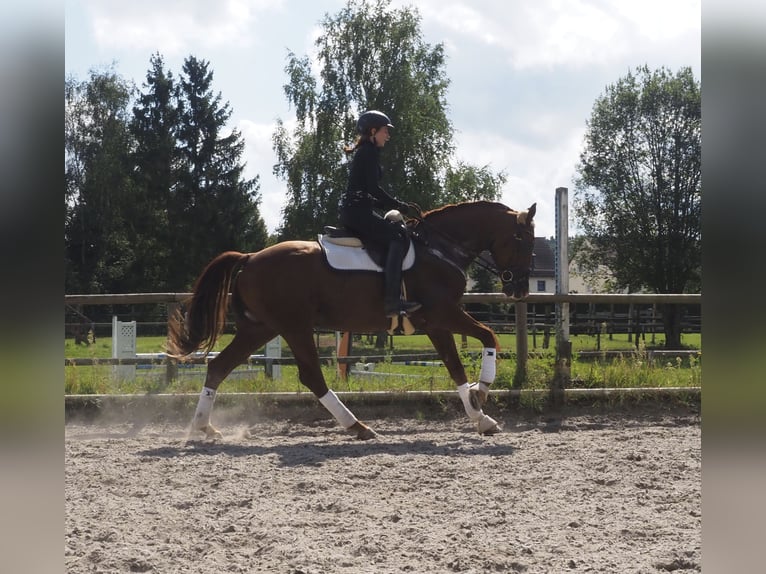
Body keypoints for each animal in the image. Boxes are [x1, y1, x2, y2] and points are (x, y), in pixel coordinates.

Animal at [167, 200, 537, 440]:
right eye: (522, 241)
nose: (519, 289)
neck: (440, 249)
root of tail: (251, 256)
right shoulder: (441, 314)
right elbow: (486, 339)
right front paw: (482, 395)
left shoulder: (435, 324)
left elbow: (458, 364)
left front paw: (479, 412)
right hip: (294, 326)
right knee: (311, 376)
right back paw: (357, 426)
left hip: (262, 328)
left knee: (219, 366)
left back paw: (203, 427)